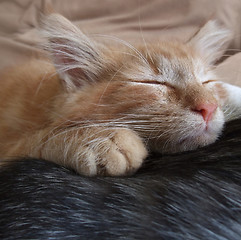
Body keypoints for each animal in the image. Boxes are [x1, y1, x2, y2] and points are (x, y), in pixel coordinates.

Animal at [0, 14, 241, 176]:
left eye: (206, 82)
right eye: (152, 83)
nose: (209, 107)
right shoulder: (10, 145)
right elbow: (38, 139)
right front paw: (98, 140)